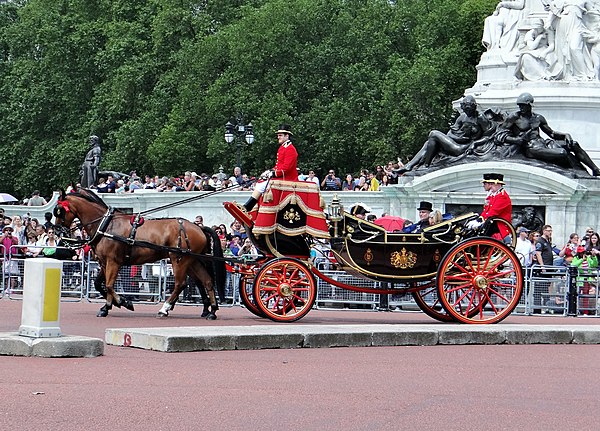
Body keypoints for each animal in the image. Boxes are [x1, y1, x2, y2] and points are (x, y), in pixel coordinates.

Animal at [52, 190, 226, 320]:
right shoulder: (104, 262)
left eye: (59, 211)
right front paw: (108, 306)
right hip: (193, 260)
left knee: (180, 284)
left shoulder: (114, 262)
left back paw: (164, 308)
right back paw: (212, 310)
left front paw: (123, 302)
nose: (56, 231)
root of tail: (198, 227)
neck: (106, 225)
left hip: (179, 260)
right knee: (207, 281)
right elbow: (99, 284)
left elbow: (109, 285)